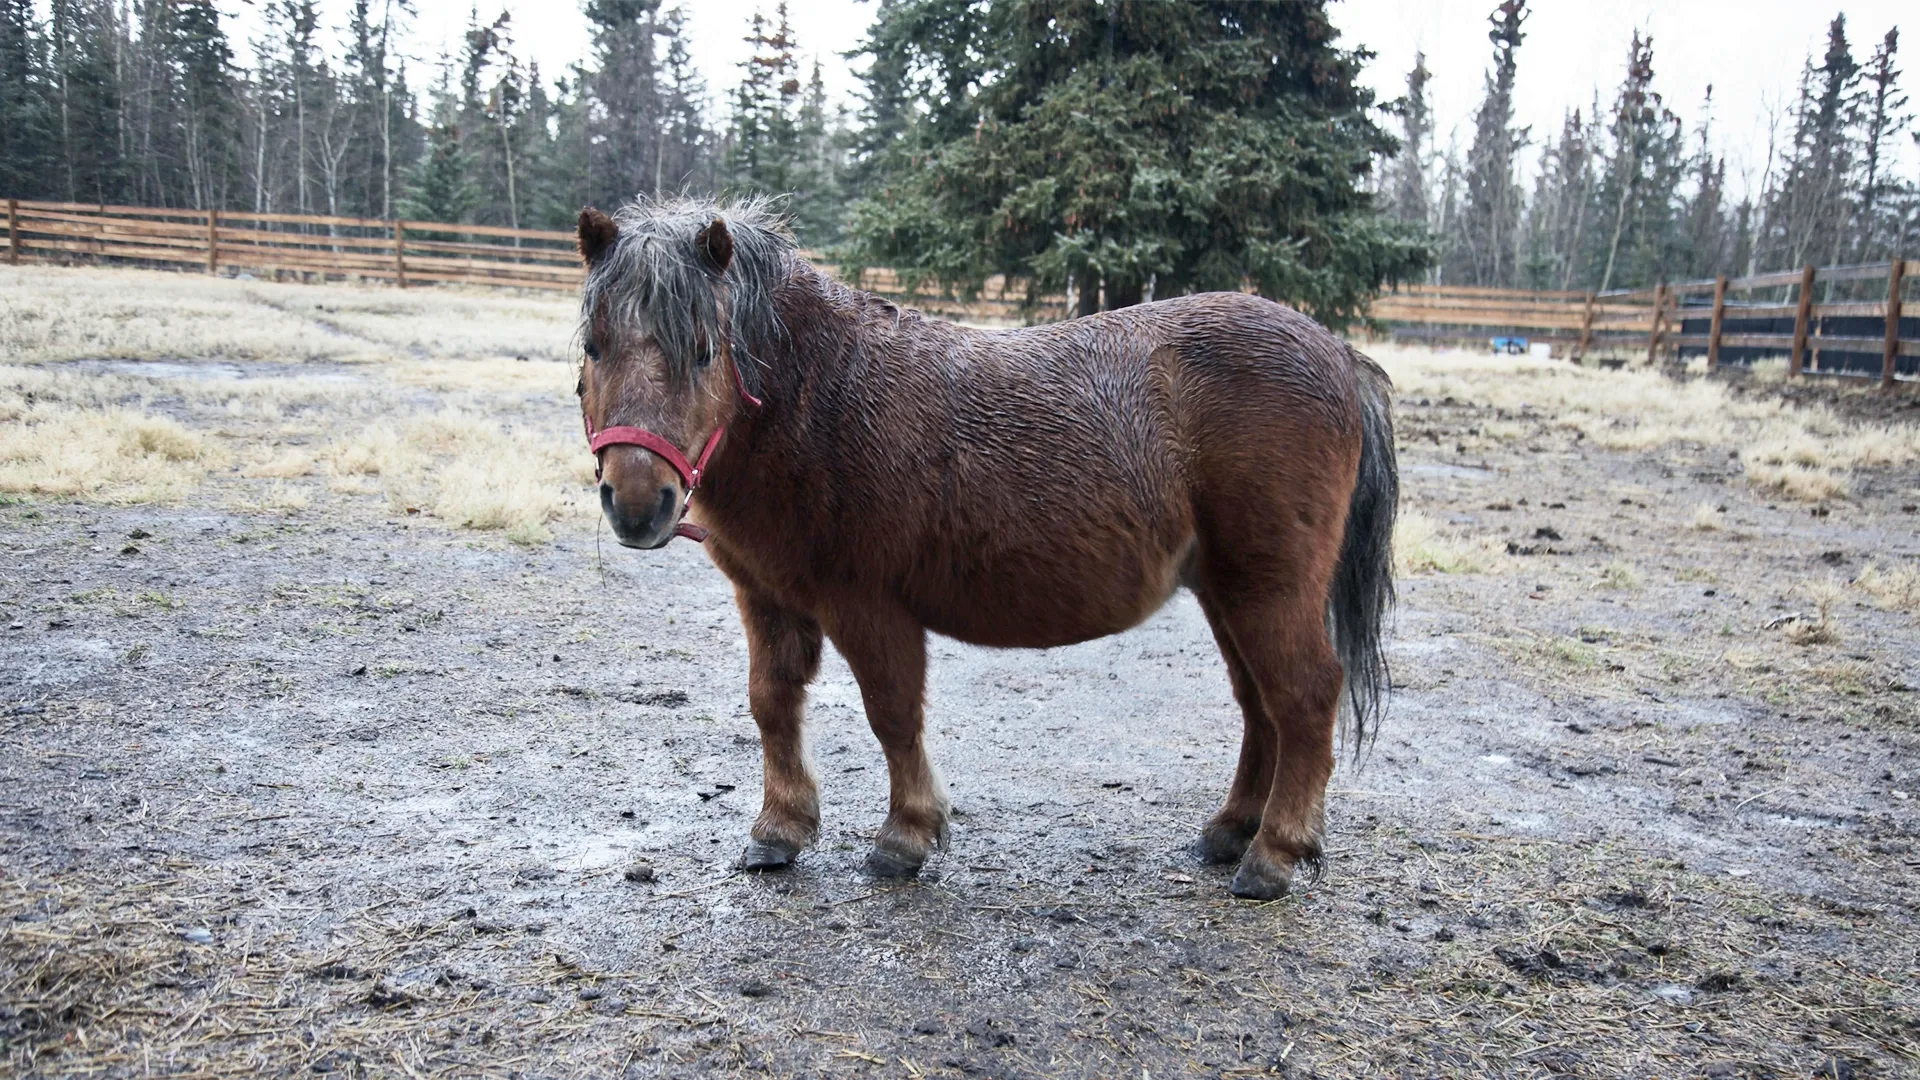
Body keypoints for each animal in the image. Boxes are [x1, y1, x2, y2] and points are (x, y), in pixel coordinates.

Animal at [573, 197, 1396, 900]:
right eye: (593, 345)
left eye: (705, 350)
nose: (638, 501)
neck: (821, 398)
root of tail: (1338, 354)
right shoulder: (767, 596)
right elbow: (772, 704)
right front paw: (780, 830)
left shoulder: (868, 605)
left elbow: (892, 713)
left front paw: (905, 836)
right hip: (1227, 590)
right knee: (1261, 704)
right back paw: (1230, 832)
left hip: (1268, 587)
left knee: (1303, 696)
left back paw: (1274, 854)